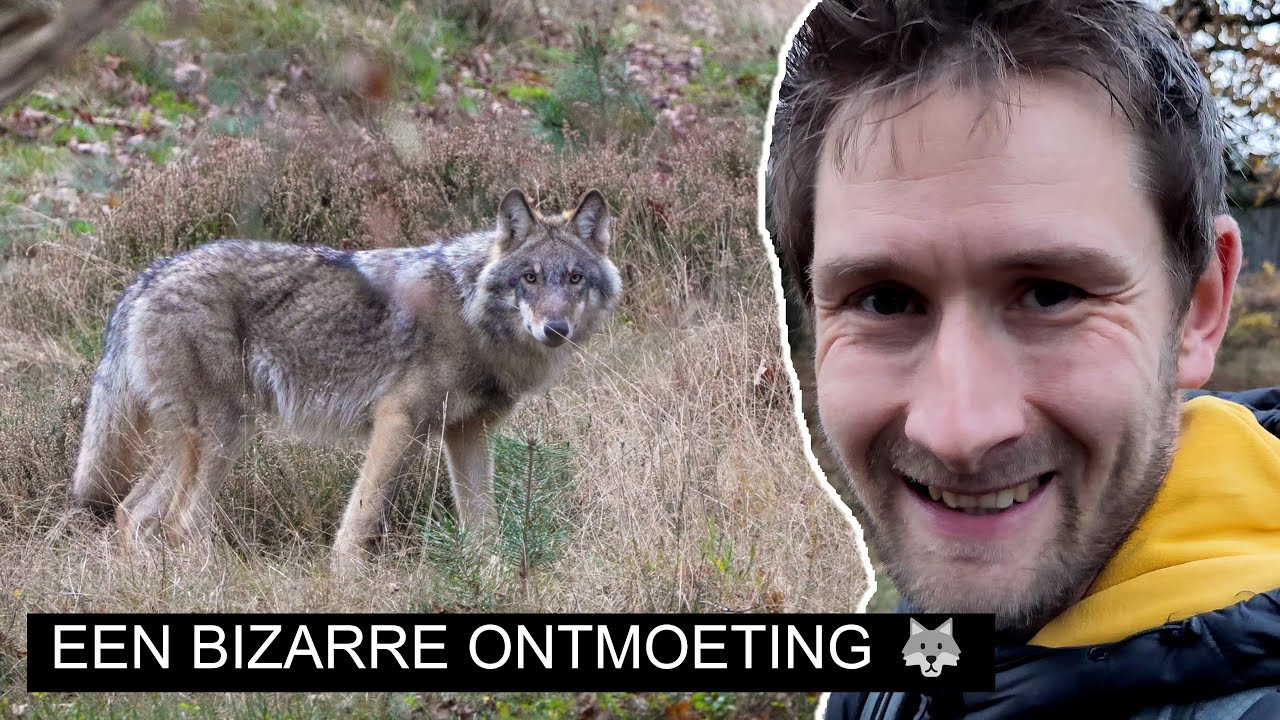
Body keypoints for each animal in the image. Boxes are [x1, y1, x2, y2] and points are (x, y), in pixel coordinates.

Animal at [68, 188, 621, 570]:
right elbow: (362, 515)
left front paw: (493, 578)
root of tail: (146, 278)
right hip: (225, 435)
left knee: (133, 514)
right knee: (179, 523)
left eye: (574, 279)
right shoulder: (397, 420)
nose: (555, 328)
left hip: (196, 442)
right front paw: (347, 579)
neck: (472, 316)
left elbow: (482, 528)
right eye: (530, 278)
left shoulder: (467, 435)